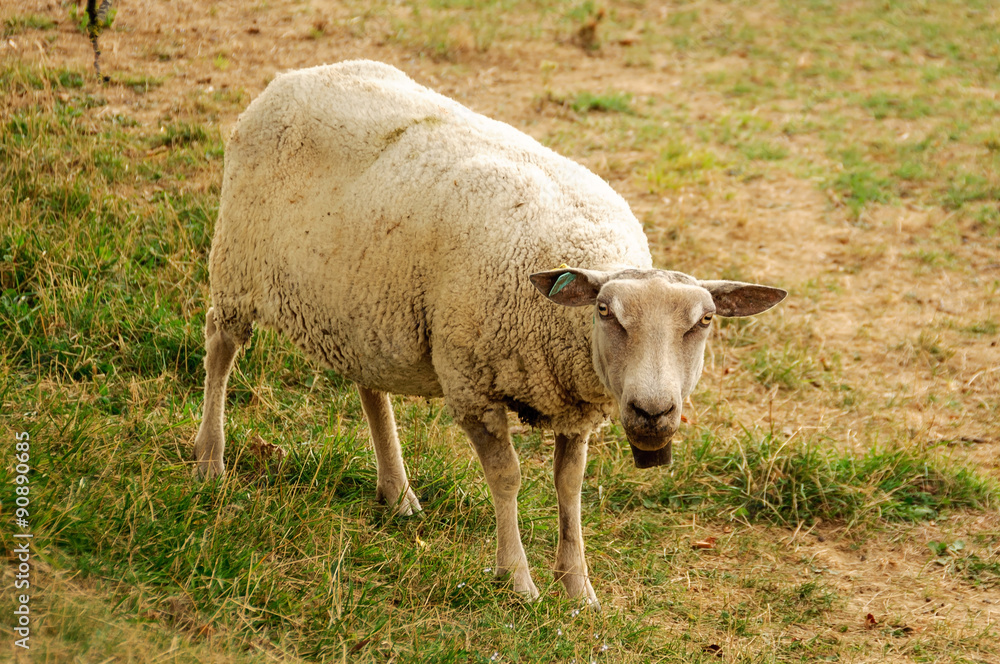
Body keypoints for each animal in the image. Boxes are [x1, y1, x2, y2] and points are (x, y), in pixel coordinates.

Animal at [193, 60, 786, 607]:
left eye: (704, 321)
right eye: (604, 311)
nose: (653, 412)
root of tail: (296, 75)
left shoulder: (576, 408)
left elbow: (568, 487)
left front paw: (578, 589)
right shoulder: (472, 386)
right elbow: (507, 479)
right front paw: (518, 581)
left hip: (366, 304)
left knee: (370, 387)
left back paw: (397, 492)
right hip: (238, 261)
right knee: (220, 348)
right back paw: (210, 461)